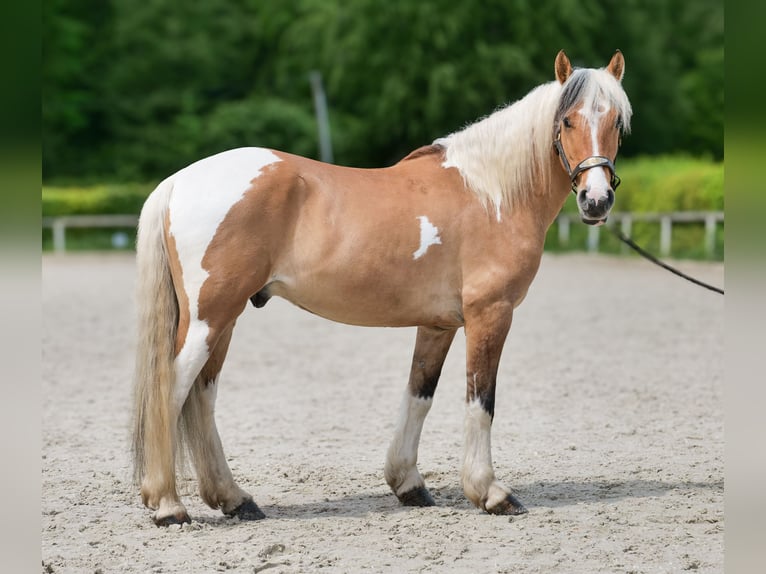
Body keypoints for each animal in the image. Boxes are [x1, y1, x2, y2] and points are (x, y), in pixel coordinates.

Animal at [132, 50, 631, 526]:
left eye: (616, 124)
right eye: (567, 121)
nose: (596, 200)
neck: (491, 195)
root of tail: (179, 181)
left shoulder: (438, 325)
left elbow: (419, 395)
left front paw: (408, 484)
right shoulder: (490, 314)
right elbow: (481, 400)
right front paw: (491, 493)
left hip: (224, 319)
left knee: (201, 397)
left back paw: (235, 500)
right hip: (209, 318)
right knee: (171, 394)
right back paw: (168, 506)